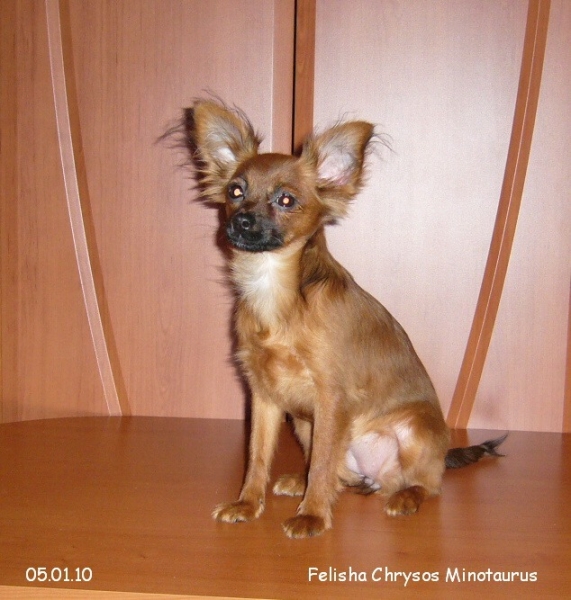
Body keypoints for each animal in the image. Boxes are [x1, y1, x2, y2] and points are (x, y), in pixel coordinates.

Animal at [183, 99, 506, 539]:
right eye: (236, 191)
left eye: (286, 200)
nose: (241, 221)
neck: (274, 285)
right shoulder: (265, 397)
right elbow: (257, 458)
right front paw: (248, 504)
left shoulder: (330, 398)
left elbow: (321, 463)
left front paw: (313, 516)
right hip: (304, 424)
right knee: (342, 475)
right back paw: (301, 482)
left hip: (415, 428)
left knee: (426, 483)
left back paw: (405, 497)